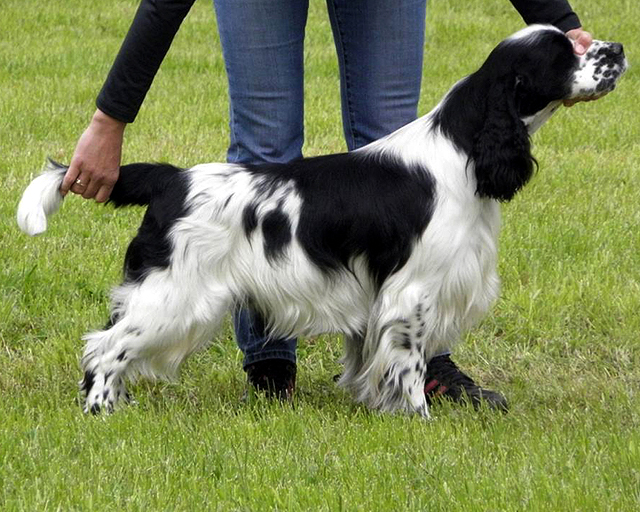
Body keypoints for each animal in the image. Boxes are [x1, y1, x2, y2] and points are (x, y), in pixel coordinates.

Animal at [18, 25, 624, 416]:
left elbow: (371, 359)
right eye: (563, 54)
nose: (617, 48)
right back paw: (101, 409)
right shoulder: (412, 291)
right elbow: (408, 363)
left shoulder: (377, 297)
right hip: (173, 296)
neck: (462, 150)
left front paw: (375, 406)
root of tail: (171, 178)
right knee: (104, 346)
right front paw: (418, 419)